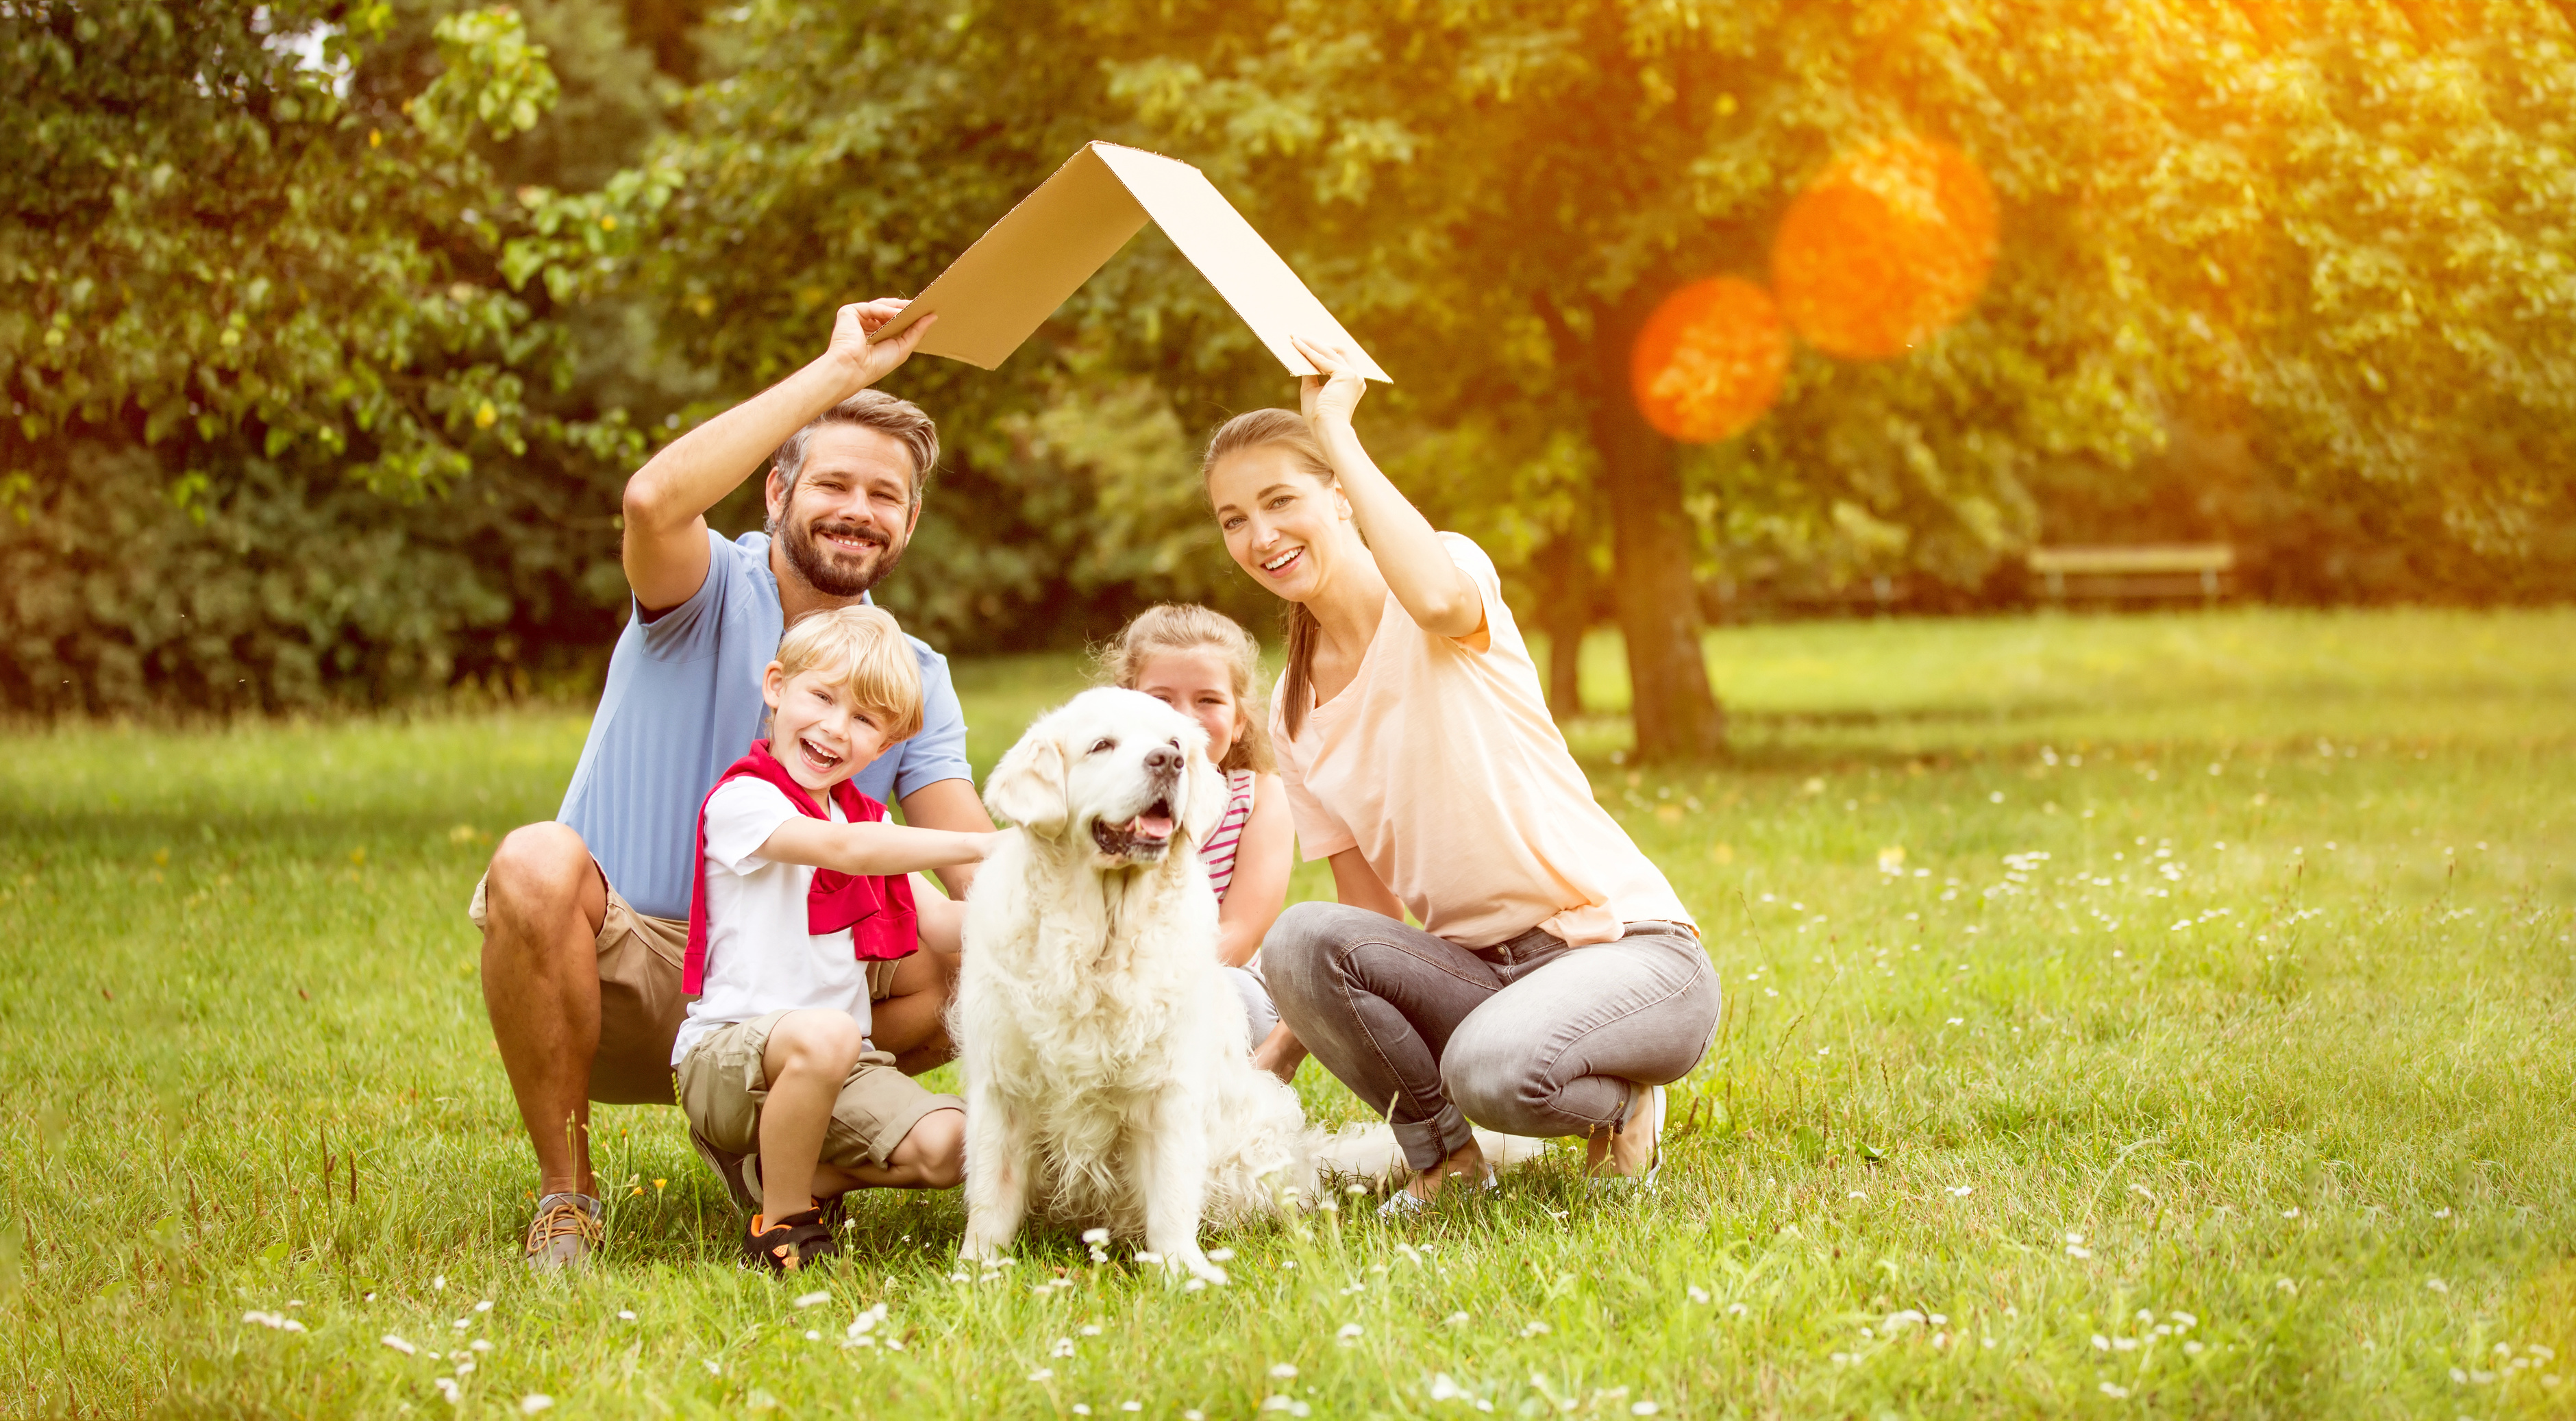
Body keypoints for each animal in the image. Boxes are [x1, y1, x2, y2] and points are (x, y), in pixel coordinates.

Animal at [948, 689, 1319, 1287]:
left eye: (1173, 742)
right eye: (1102, 745)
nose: (1168, 762)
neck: (1100, 939)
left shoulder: (1168, 1088)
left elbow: (1170, 1192)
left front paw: (1181, 1271)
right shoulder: (1003, 1086)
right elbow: (990, 1191)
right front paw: (978, 1271)